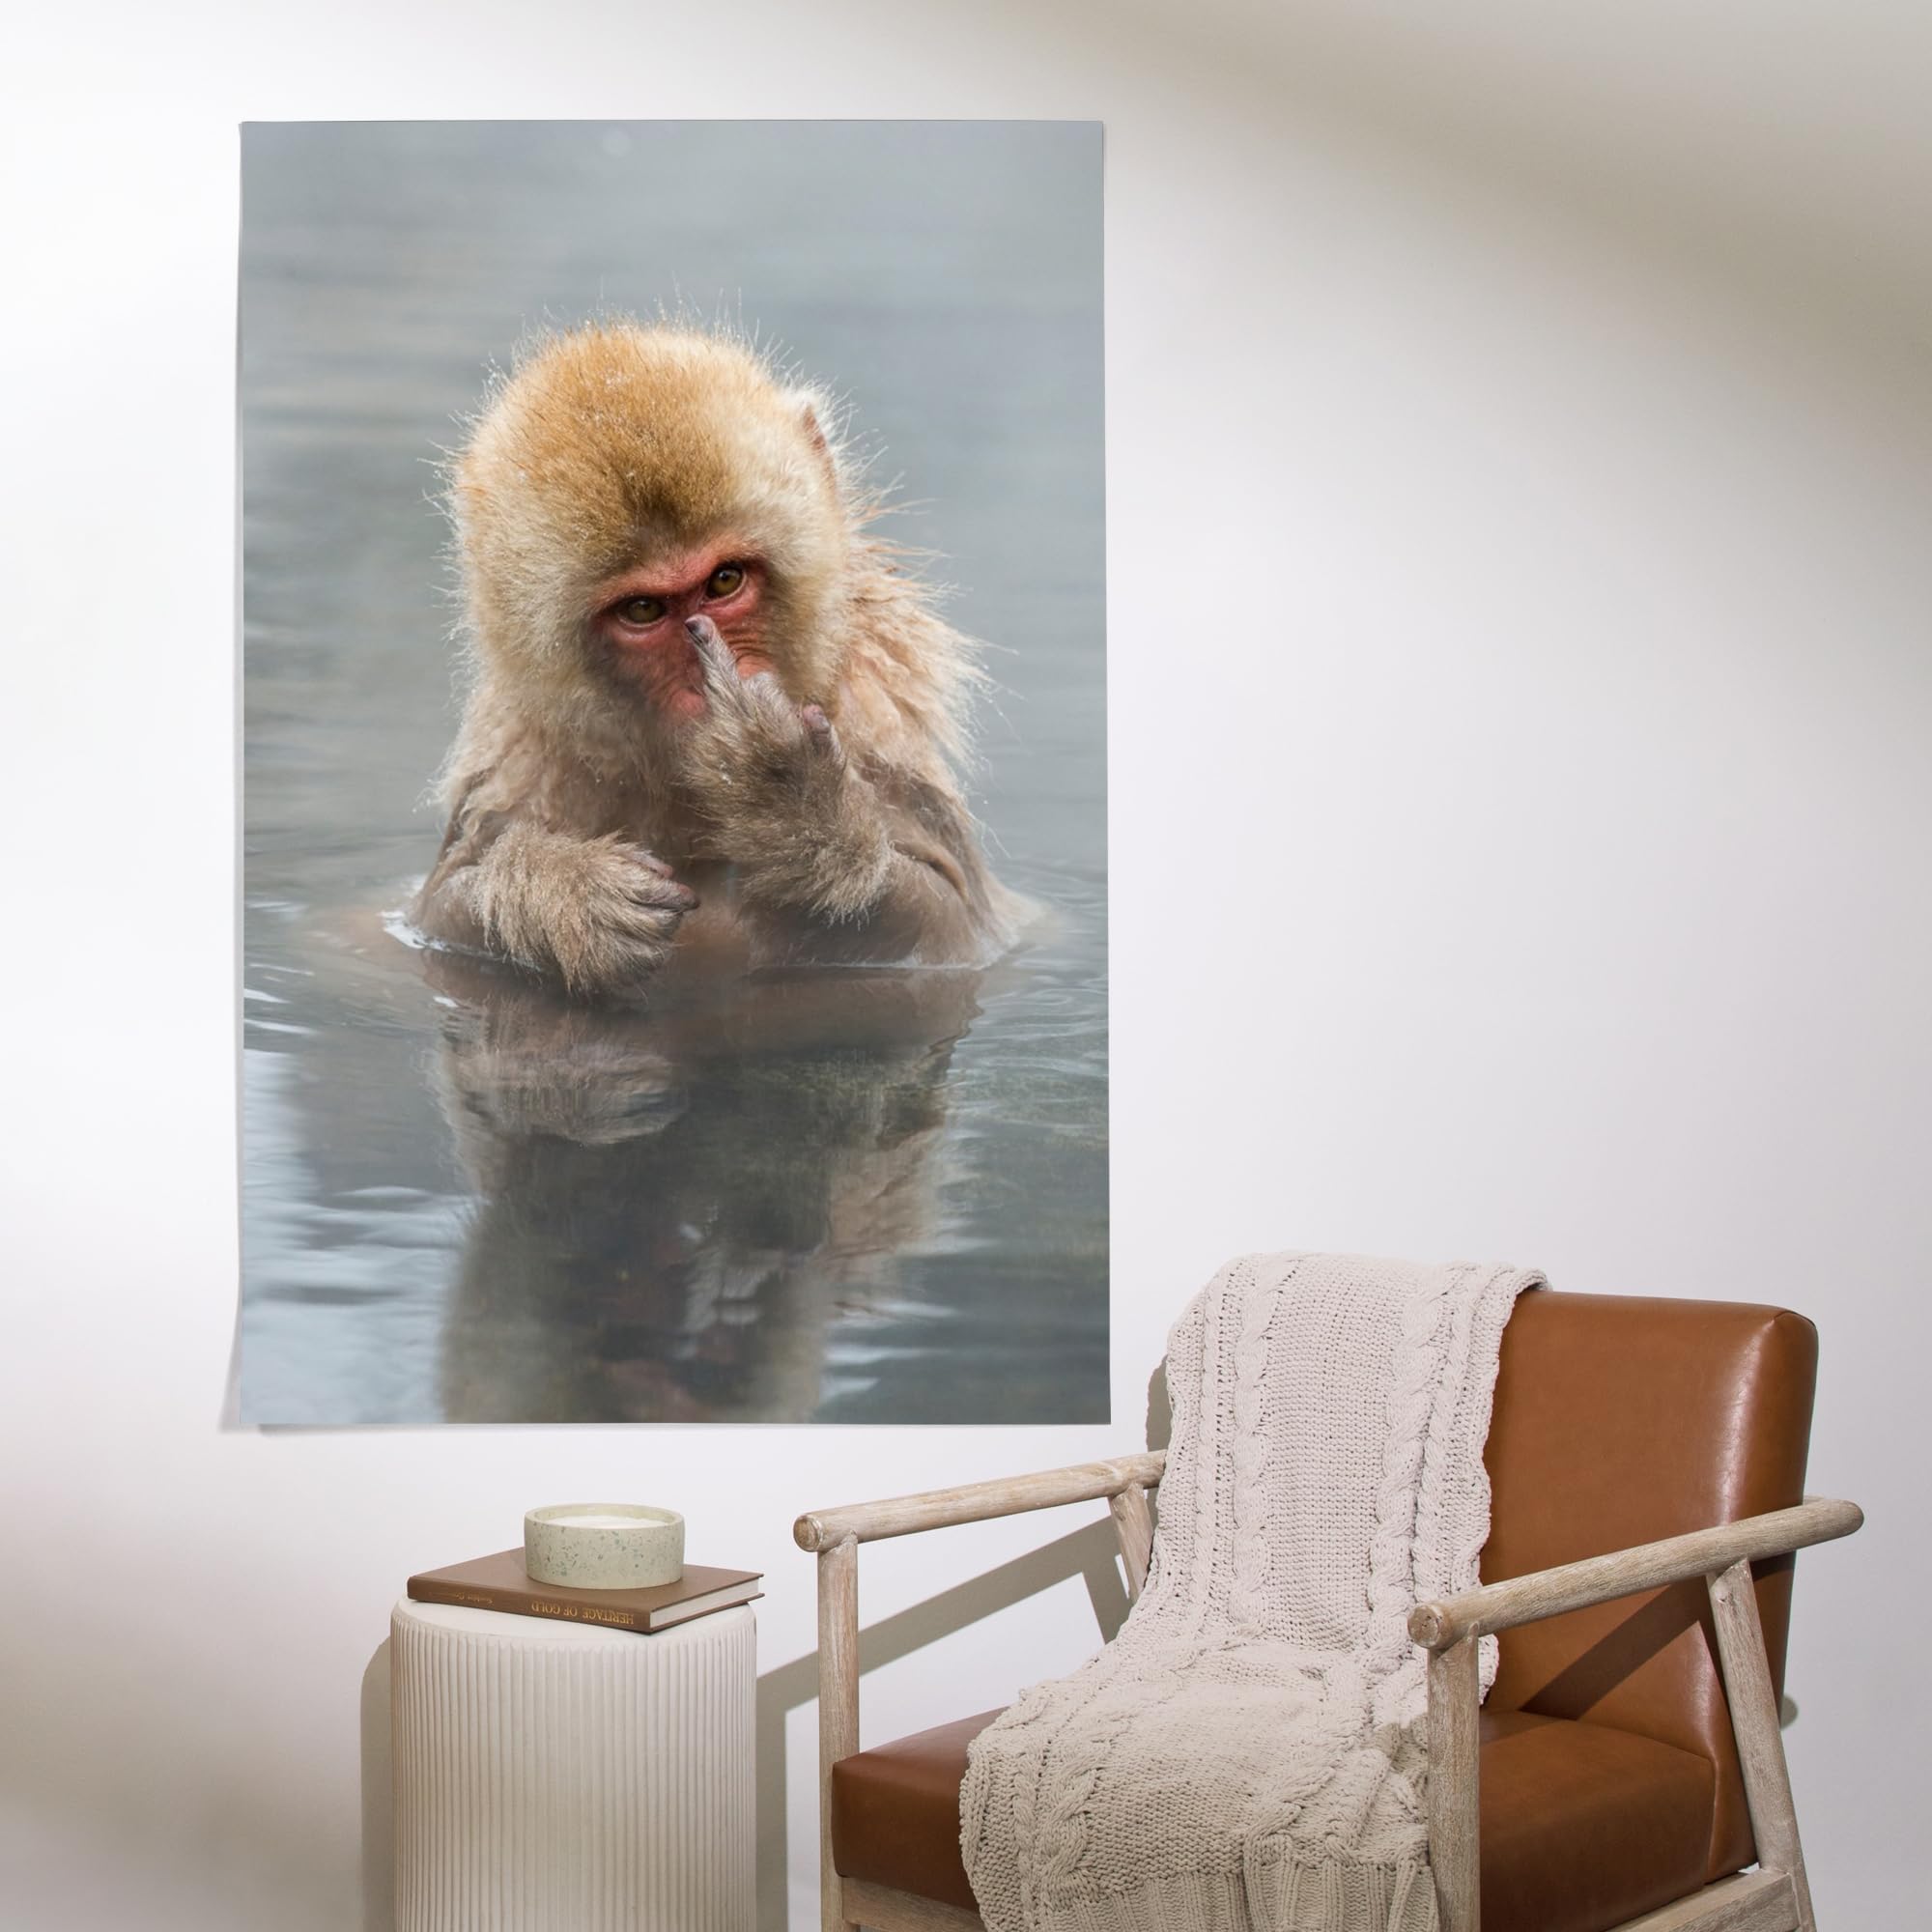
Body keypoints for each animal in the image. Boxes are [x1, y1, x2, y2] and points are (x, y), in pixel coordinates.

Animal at [410, 321, 1023, 997]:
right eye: (643, 611)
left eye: (725, 580)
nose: (709, 688)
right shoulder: (519, 763)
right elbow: (438, 910)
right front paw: (562, 891)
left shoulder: (879, 726)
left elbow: (954, 924)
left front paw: (789, 800)